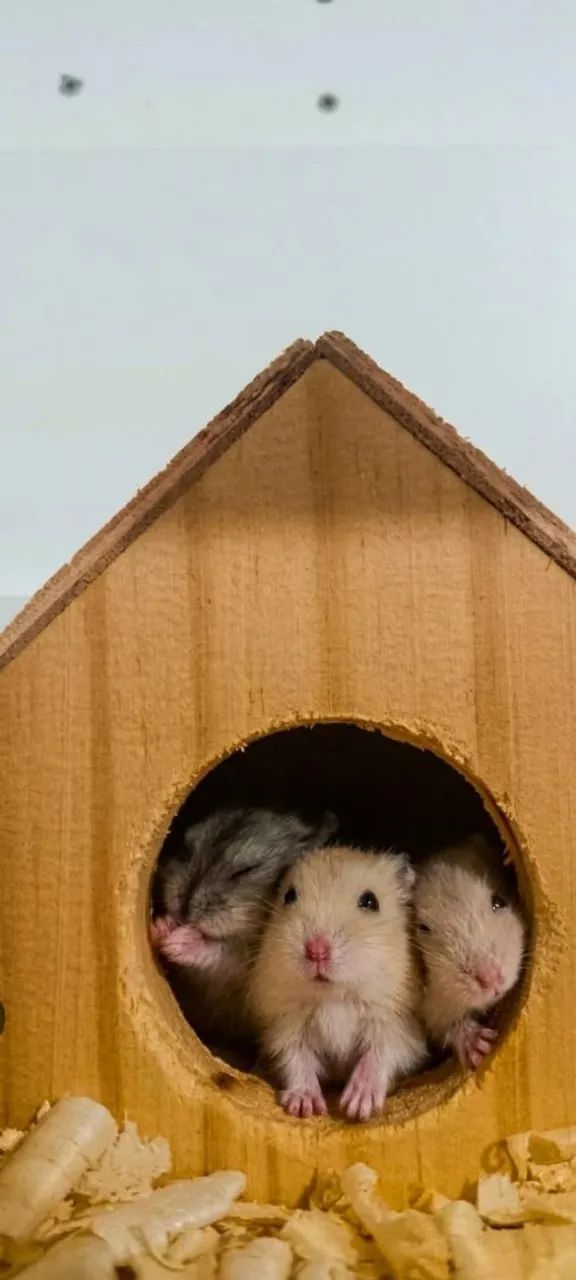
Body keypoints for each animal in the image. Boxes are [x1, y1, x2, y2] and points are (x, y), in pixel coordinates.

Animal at [150, 806, 337, 1046]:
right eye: (186, 851)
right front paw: (162, 925)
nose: (184, 911)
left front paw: (180, 939)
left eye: (246, 870)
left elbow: (222, 956)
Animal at [248, 845, 427, 1121]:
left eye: (370, 902)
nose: (316, 950)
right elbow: (297, 1061)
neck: (334, 995)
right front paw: (304, 1107)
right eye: (289, 896)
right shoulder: (287, 1029)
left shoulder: (399, 1026)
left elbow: (380, 1053)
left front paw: (357, 1107)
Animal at [413, 834, 526, 1070]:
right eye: (423, 928)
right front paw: (481, 1047)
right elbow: (449, 1026)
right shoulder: (433, 1011)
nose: (491, 980)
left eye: (498, 901)